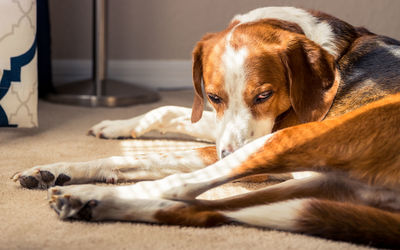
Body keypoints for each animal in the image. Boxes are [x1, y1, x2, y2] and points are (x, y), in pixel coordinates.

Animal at [12, 6, 400, 247]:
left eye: (265, 95)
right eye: (213, 96)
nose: (228, 153)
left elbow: (159, 155)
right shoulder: (220, 127)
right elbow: (165, 112)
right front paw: (107, 131)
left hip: (293, 141)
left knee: (181, 186)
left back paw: (89, 195)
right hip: (316, 184)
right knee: (204, 210)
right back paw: (87, 202)